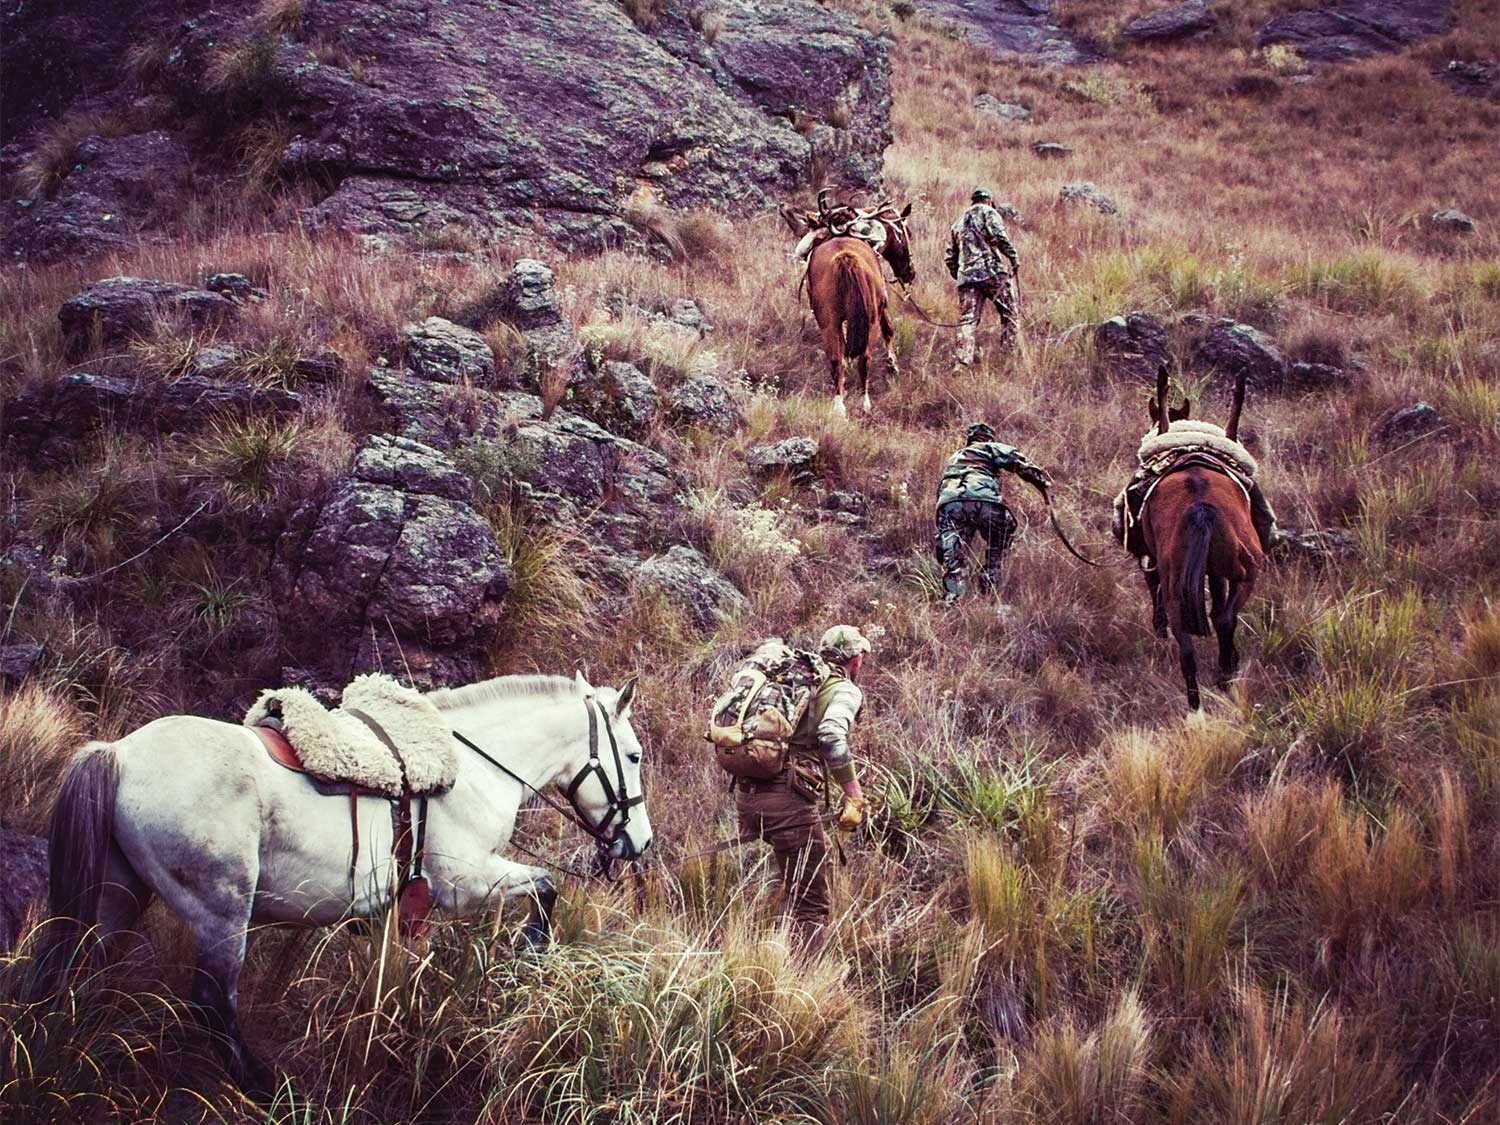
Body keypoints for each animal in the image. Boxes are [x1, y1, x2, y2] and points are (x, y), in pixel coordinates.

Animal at [39, 669, 651, 1092]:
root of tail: (118, 753)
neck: (472, 767)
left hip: (119, 897)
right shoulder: (466, 881)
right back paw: (261, 1083)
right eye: (635, 756)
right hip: (221, 913)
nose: (639, 844)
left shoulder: (403, 911)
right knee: (213, 1004)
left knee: (88, 970)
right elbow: (548, 887)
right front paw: (531, 948)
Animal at [1140, 366, 1260, 708]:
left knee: (1193, 642)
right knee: (1223, 620)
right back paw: (1222, 675)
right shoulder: (1215, 573)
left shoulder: (1152, 561)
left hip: (1181, 587)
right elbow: (1218, 604)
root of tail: (1201, 506)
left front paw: (1158, 629)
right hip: (1245, 572)